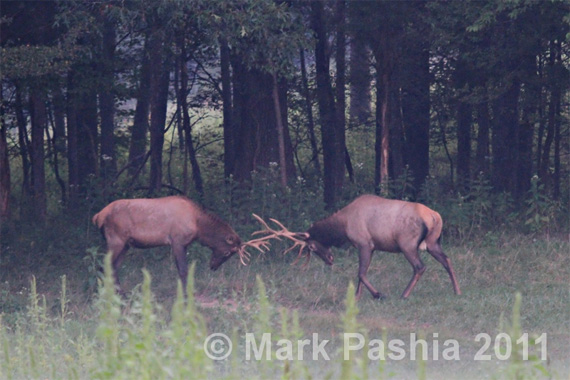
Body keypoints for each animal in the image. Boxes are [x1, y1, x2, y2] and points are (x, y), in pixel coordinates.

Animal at [91, 194, 264, 292]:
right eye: (228, 251)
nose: (213, 266)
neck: (198, 226)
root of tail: (98, 216)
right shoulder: (177, 240)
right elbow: (183, 270)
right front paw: (187, 295)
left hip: (126, 244)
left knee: (113, 268)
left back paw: (121, 294)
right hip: (116, 240)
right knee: (102, 266)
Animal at [251, 196, 460, 300]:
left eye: (311, 246)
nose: (330, 260)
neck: (343, 225)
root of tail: (434, 217)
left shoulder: (364, 242)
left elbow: (360, 272)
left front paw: (377, 294)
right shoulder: (370, 246)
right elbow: (361, 272)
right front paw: (358, 296)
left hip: (407, 243)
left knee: (419, 266)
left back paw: (404, 294)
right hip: (433, 242)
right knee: (447, 260)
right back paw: (457, 291)